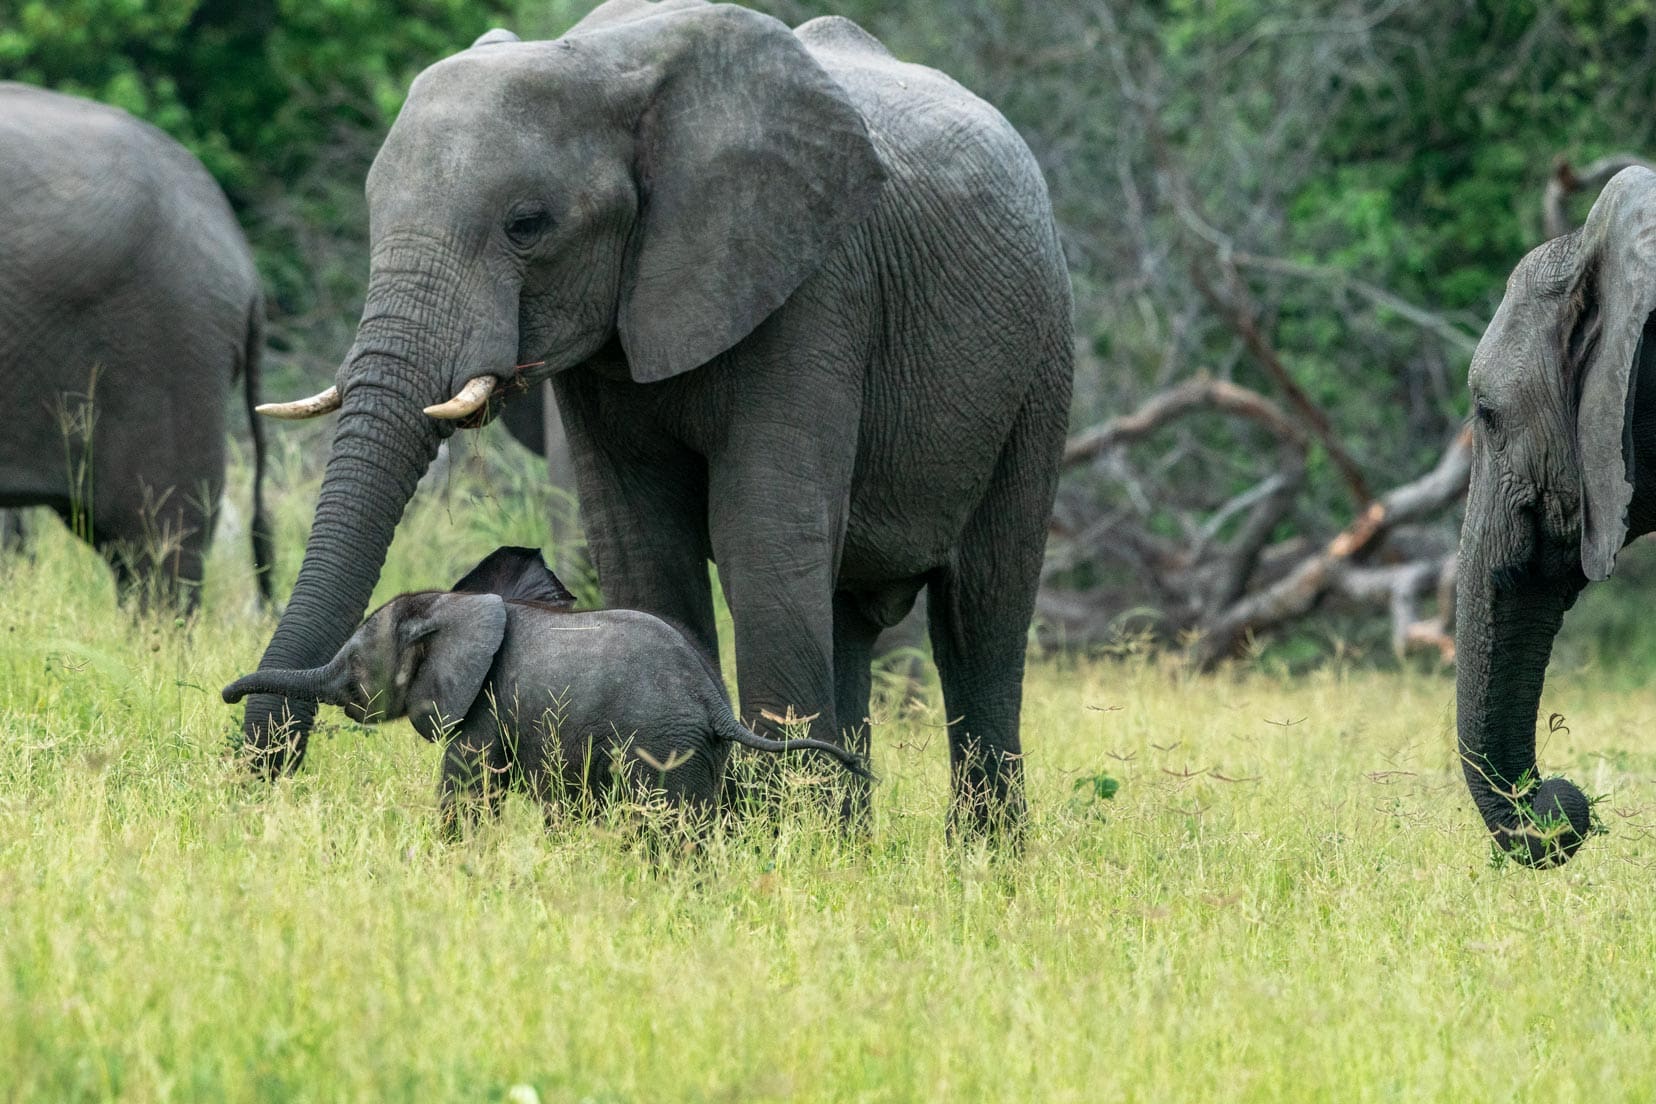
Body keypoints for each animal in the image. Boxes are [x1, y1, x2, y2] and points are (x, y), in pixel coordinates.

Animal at [226, 546, 874, 827]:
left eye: (354, 666)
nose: (227, 694)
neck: (452, 604)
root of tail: (716, 703)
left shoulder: (484, 706)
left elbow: (467, 787)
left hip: (662, 744)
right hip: (698, 752)